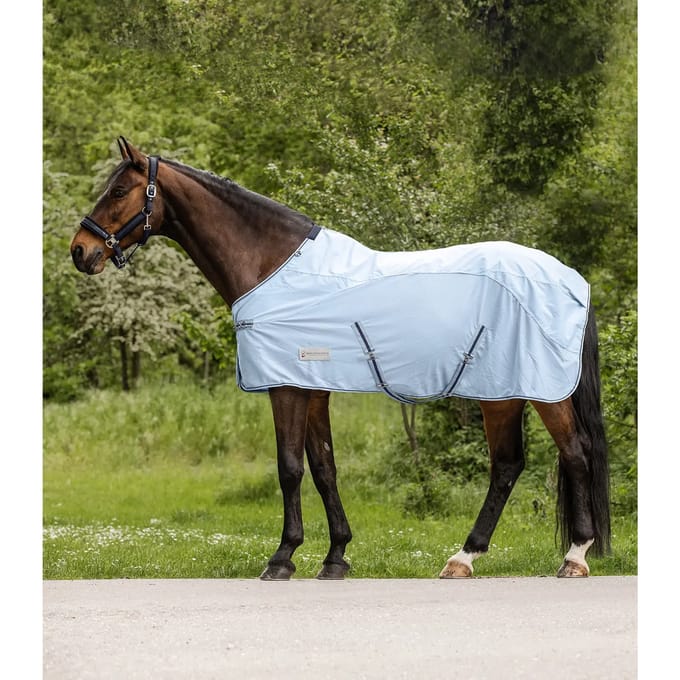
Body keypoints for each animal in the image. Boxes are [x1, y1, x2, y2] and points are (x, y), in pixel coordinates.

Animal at [70, 138, 610, 580]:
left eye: (119, 191)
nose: (80, 250)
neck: (273, 267)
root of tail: (571, 278)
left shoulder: (287, 386)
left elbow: (290, 467)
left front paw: (282, 558)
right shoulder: (312, 387)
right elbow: (324, 466)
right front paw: (335, 558)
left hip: (541, 391)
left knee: (575, 452)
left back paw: (574, 557)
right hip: (502, 392)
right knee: (507, 465)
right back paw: (464, 558)